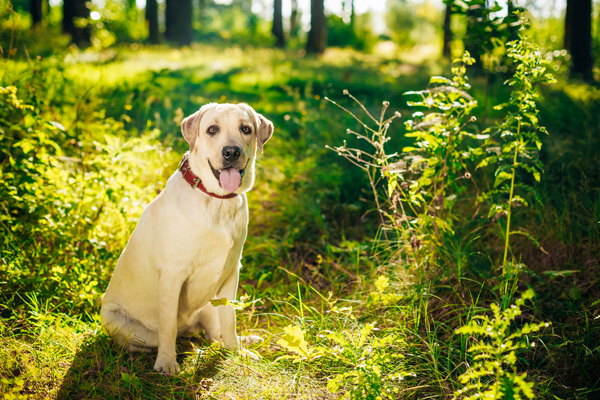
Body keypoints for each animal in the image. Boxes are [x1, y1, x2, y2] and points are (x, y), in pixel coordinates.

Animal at [101, 101, 274, 374]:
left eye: (246, 129)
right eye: (212, 129)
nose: (231, 152)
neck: (216, 200)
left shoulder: (231, 274)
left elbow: (230, 319)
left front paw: (236, 352)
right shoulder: (172, 276)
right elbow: (168, 325)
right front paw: (167, 363)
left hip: (208, 305)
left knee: (214, 334)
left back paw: (242, 342)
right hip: (115, 318)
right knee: (152, 339)